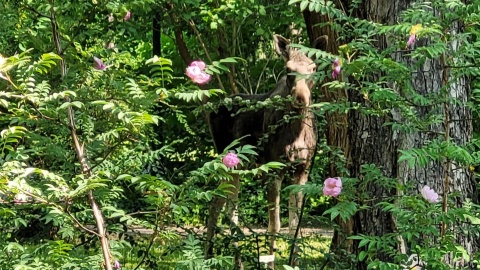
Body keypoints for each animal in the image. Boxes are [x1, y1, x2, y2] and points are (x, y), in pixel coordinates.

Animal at [206, 33, 326, 268]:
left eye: (314, 67)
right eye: (288, 69)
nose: (301, 98)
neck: (297, 133)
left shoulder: (302, 169)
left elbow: (295, 225)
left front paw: (294, 263)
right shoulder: (273, 169)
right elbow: (274, 225)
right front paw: (270, 263)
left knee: (224, 207)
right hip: (229, 162)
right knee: (221, 208)